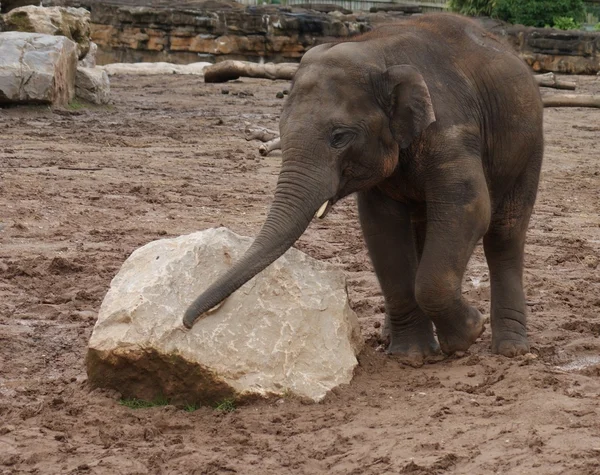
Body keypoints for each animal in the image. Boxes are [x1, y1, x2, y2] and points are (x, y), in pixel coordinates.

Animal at [183, 13, 544, 362]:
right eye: (280, 129)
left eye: (339, 137)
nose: (188, 323)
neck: (375, 49)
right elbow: (381, 227)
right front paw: (411, 356)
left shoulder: (451, 127)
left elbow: (469, 207)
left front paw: (468, 333)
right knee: (421, 230)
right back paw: (391, 337)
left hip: (529, 146)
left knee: (504, 234)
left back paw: (512, 350)